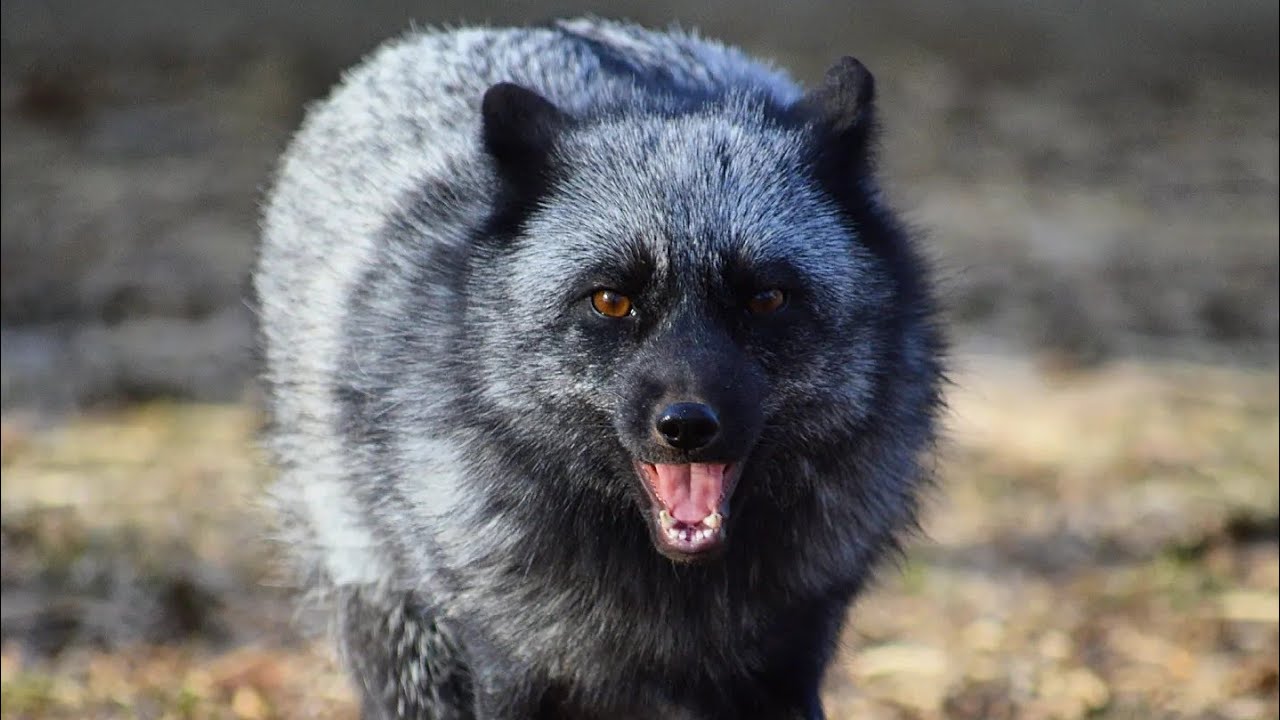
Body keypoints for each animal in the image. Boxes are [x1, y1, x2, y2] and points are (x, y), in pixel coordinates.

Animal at [255, 16, 943, 719]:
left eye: (767, 299)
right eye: (611, 300)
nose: (687, 426)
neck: (672, 606)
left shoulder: (788, 665)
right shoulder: (512, 669)